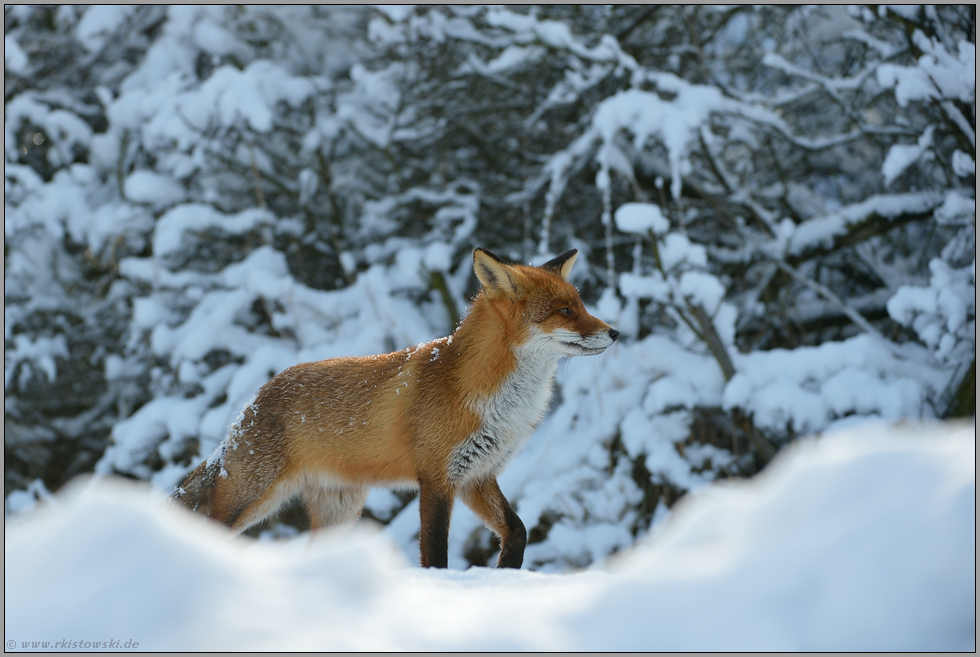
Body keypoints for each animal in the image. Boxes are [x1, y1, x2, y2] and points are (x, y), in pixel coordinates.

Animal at [175, 249, 616, 568]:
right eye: (564, 311)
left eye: (580, 304)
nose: (615, 332)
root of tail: (249, 405)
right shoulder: (437, 477)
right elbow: (436, 554)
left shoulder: (476, 475)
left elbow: (518, 530)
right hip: (251, 499)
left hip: (339, 512)